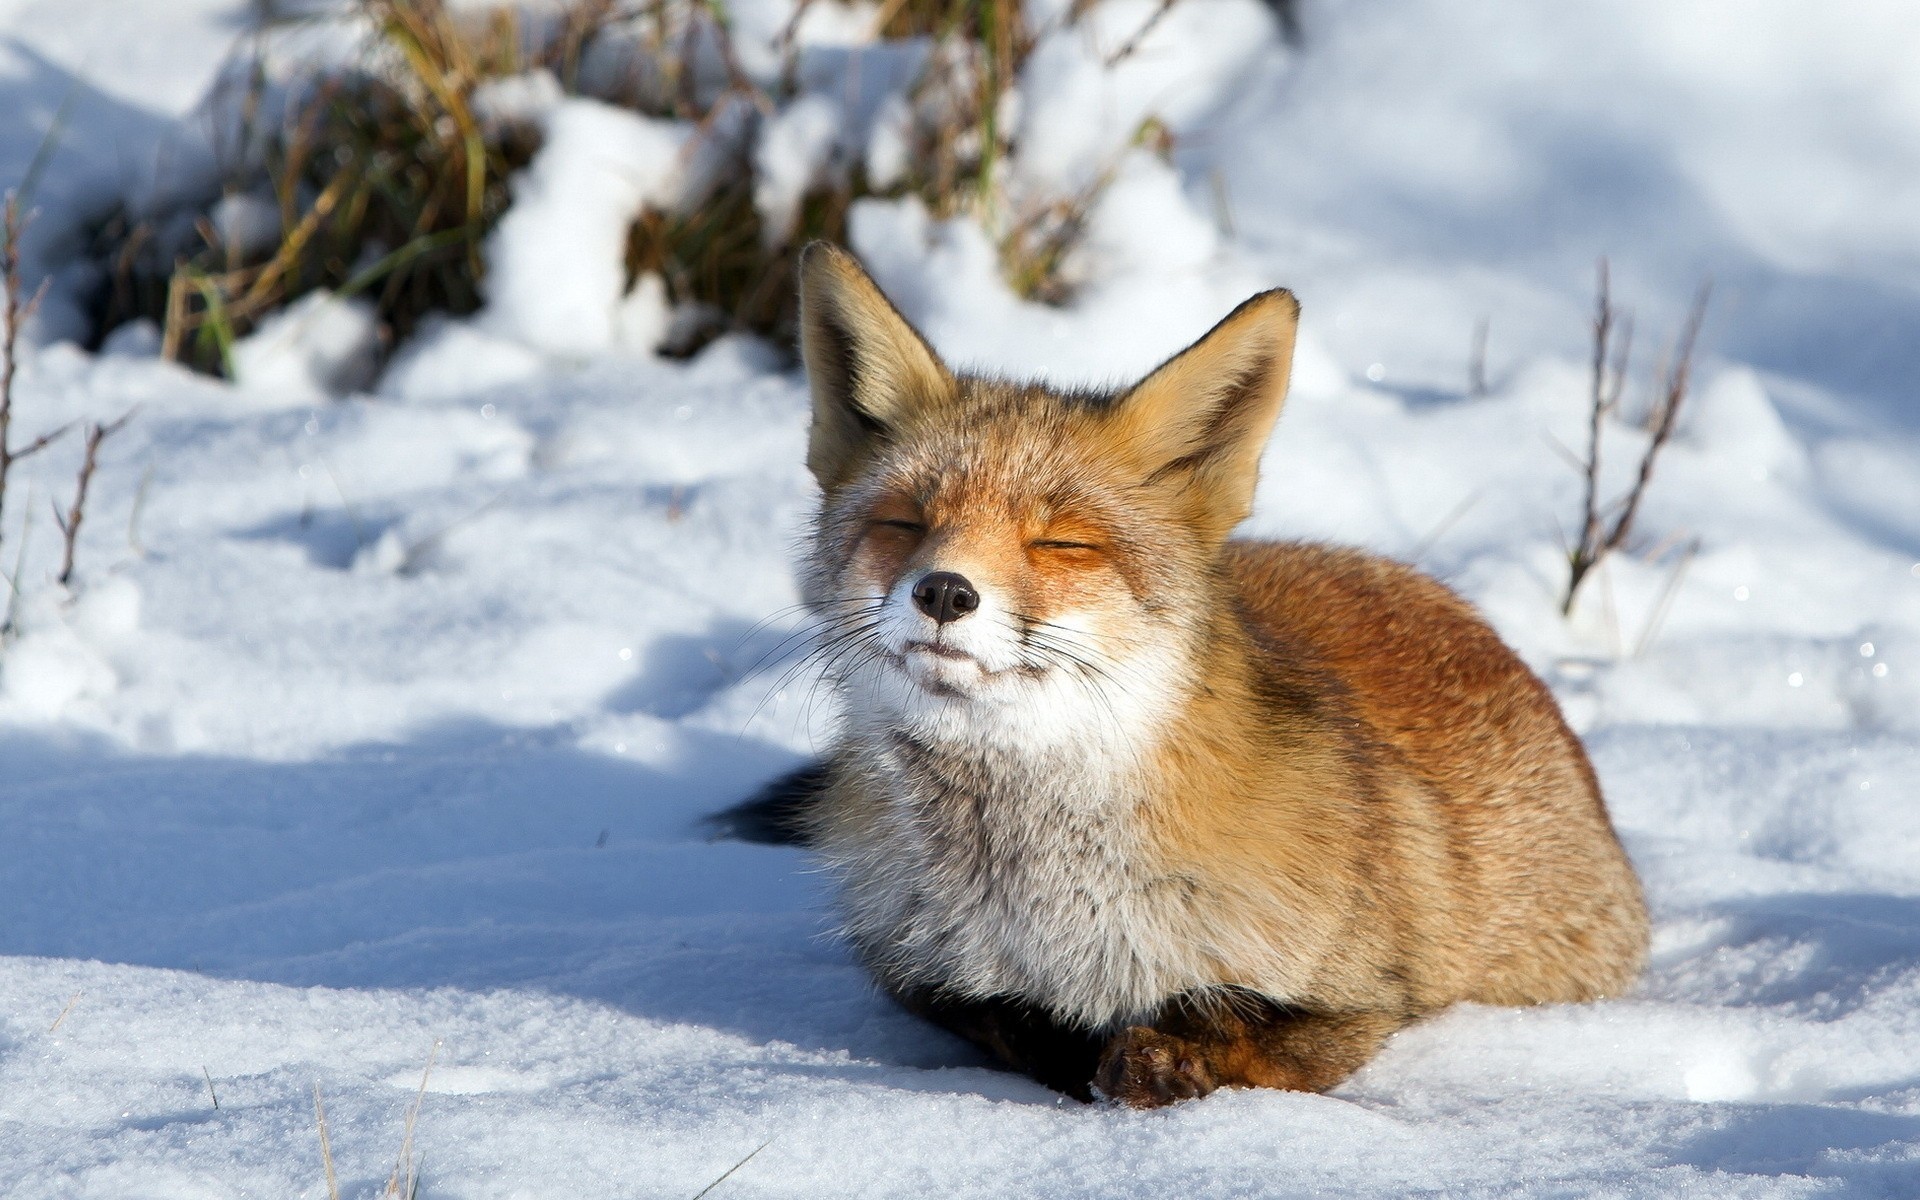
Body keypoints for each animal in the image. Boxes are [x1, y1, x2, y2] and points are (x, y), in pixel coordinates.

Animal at [762, 242, 1649, 1108]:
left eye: (1062, 543)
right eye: (904, 521)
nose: (944, 591)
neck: (1038, 902)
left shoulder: (1372, 996)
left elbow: (1248, 1026)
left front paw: (1165, 1057)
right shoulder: (918, 972)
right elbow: (1013, 1022)